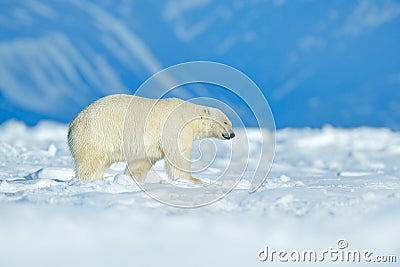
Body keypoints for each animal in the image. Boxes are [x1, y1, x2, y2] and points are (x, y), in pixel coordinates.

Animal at [67, 95, 233, 185]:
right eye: (226, 122)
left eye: (230, 123)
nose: (232, 134)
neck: (186, 114)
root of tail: (73, 123)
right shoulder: (174, 127)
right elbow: (178, 156)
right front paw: (194, 180)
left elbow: (141, 162)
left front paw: (133, 179)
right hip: (95, 135)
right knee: (90, 163)